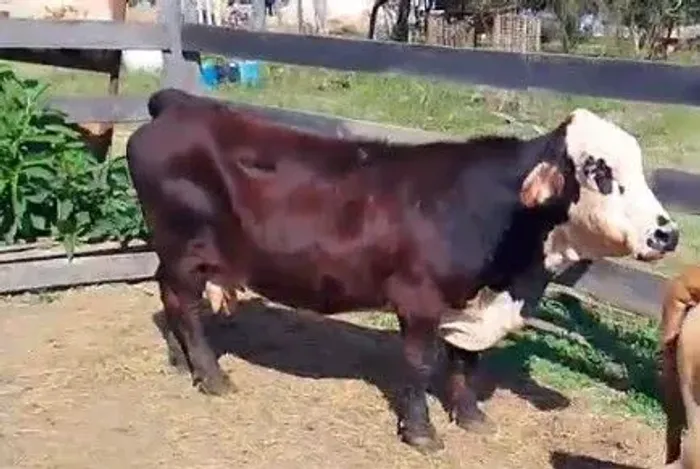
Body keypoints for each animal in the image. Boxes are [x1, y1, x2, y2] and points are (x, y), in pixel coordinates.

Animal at [127, 88, 678, 452]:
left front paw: (471, 417)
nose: (667, 234)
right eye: (599, 170)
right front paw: (422, 433)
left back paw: (180, 360)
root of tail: (179, 104)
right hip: (184, 250)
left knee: (169, 298)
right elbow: (418, 367)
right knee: (182, 304)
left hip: (176, 255)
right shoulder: (419, 300)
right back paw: (211, 375)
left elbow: (465, 363)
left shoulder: (469, 305)